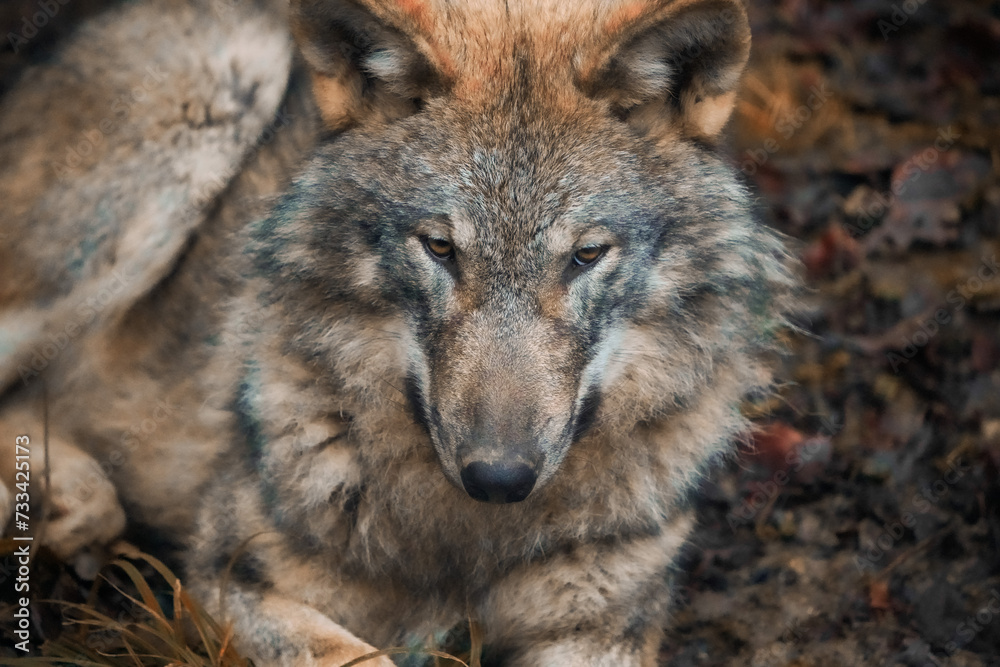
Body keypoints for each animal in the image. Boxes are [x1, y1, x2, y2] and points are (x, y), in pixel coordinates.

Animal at [1, 0, 796, 664]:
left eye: (586, 255)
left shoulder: (598, 631)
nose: (499, 477)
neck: (468, 538)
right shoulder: (233, 573)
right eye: (440, 247)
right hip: (216, 97)